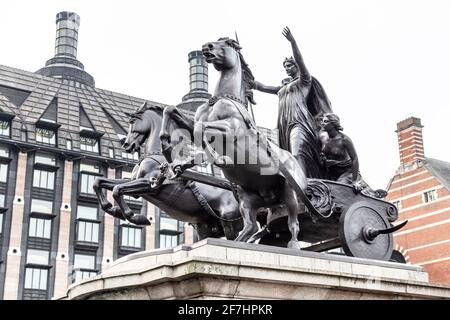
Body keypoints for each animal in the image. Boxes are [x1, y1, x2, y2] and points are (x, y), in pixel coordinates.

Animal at [160, 38, 312, 250]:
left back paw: (294, 244)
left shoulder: (230, 128)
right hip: (247, 198)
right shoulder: (194, 121)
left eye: (227, 43)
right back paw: (238, 243)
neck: (222, 99)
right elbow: (171, 111)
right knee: (250, 226)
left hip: (290, 193)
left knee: (293, 222)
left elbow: (201, 129)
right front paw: (168, 147)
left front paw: (216, 158)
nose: (206, 46)